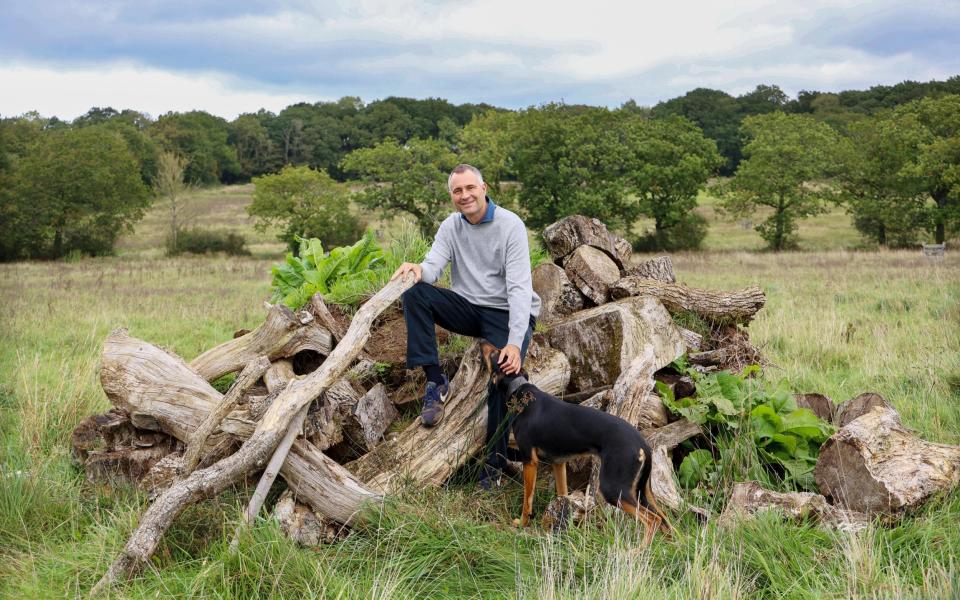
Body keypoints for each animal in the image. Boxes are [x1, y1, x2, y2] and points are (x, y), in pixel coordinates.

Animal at [484, 344, 672, 548]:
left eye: (495, 352)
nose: (481, 344)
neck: (522, 392)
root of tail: (642, 444)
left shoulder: (529, 461)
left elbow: (528, 500)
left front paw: (523, 523)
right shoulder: (558, 463)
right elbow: (563, 495)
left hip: (614, 489)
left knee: (652, 520)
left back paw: (638, 551)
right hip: (643, 491)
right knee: (665, 520)